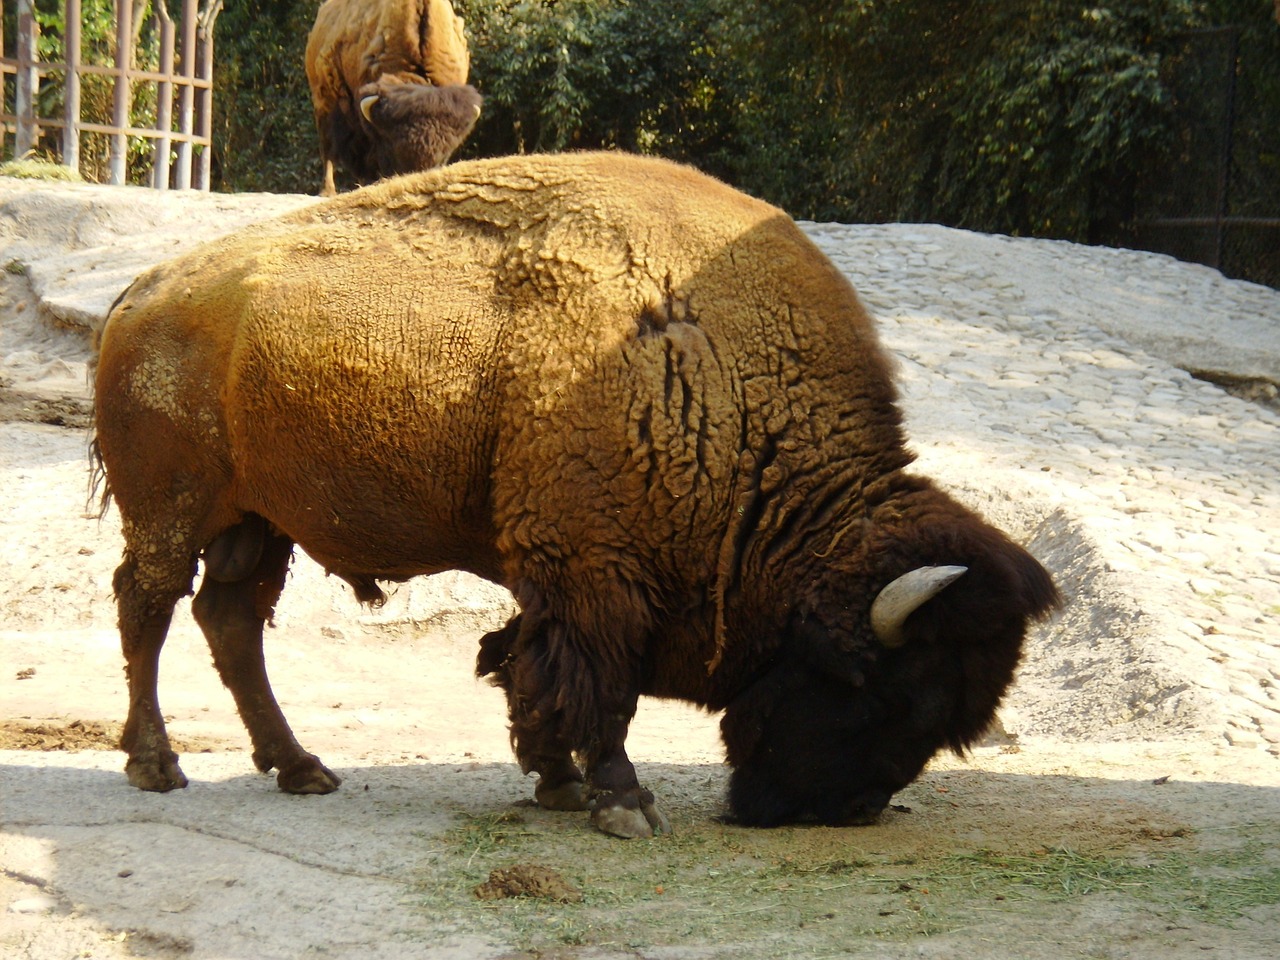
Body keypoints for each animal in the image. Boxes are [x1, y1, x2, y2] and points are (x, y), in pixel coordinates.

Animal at [92, 152, 1059, 839]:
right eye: (880, 687)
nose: (845, 810)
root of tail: (142, 291)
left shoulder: (553, 570)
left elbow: (528, 665)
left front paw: (555, 782)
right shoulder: (595, 574)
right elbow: (594, 682)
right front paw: (623, 804)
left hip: (261, 522)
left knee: (230, 621)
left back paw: (300, 768)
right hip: (173, 511)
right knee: (148, 608)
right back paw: (157, 765)